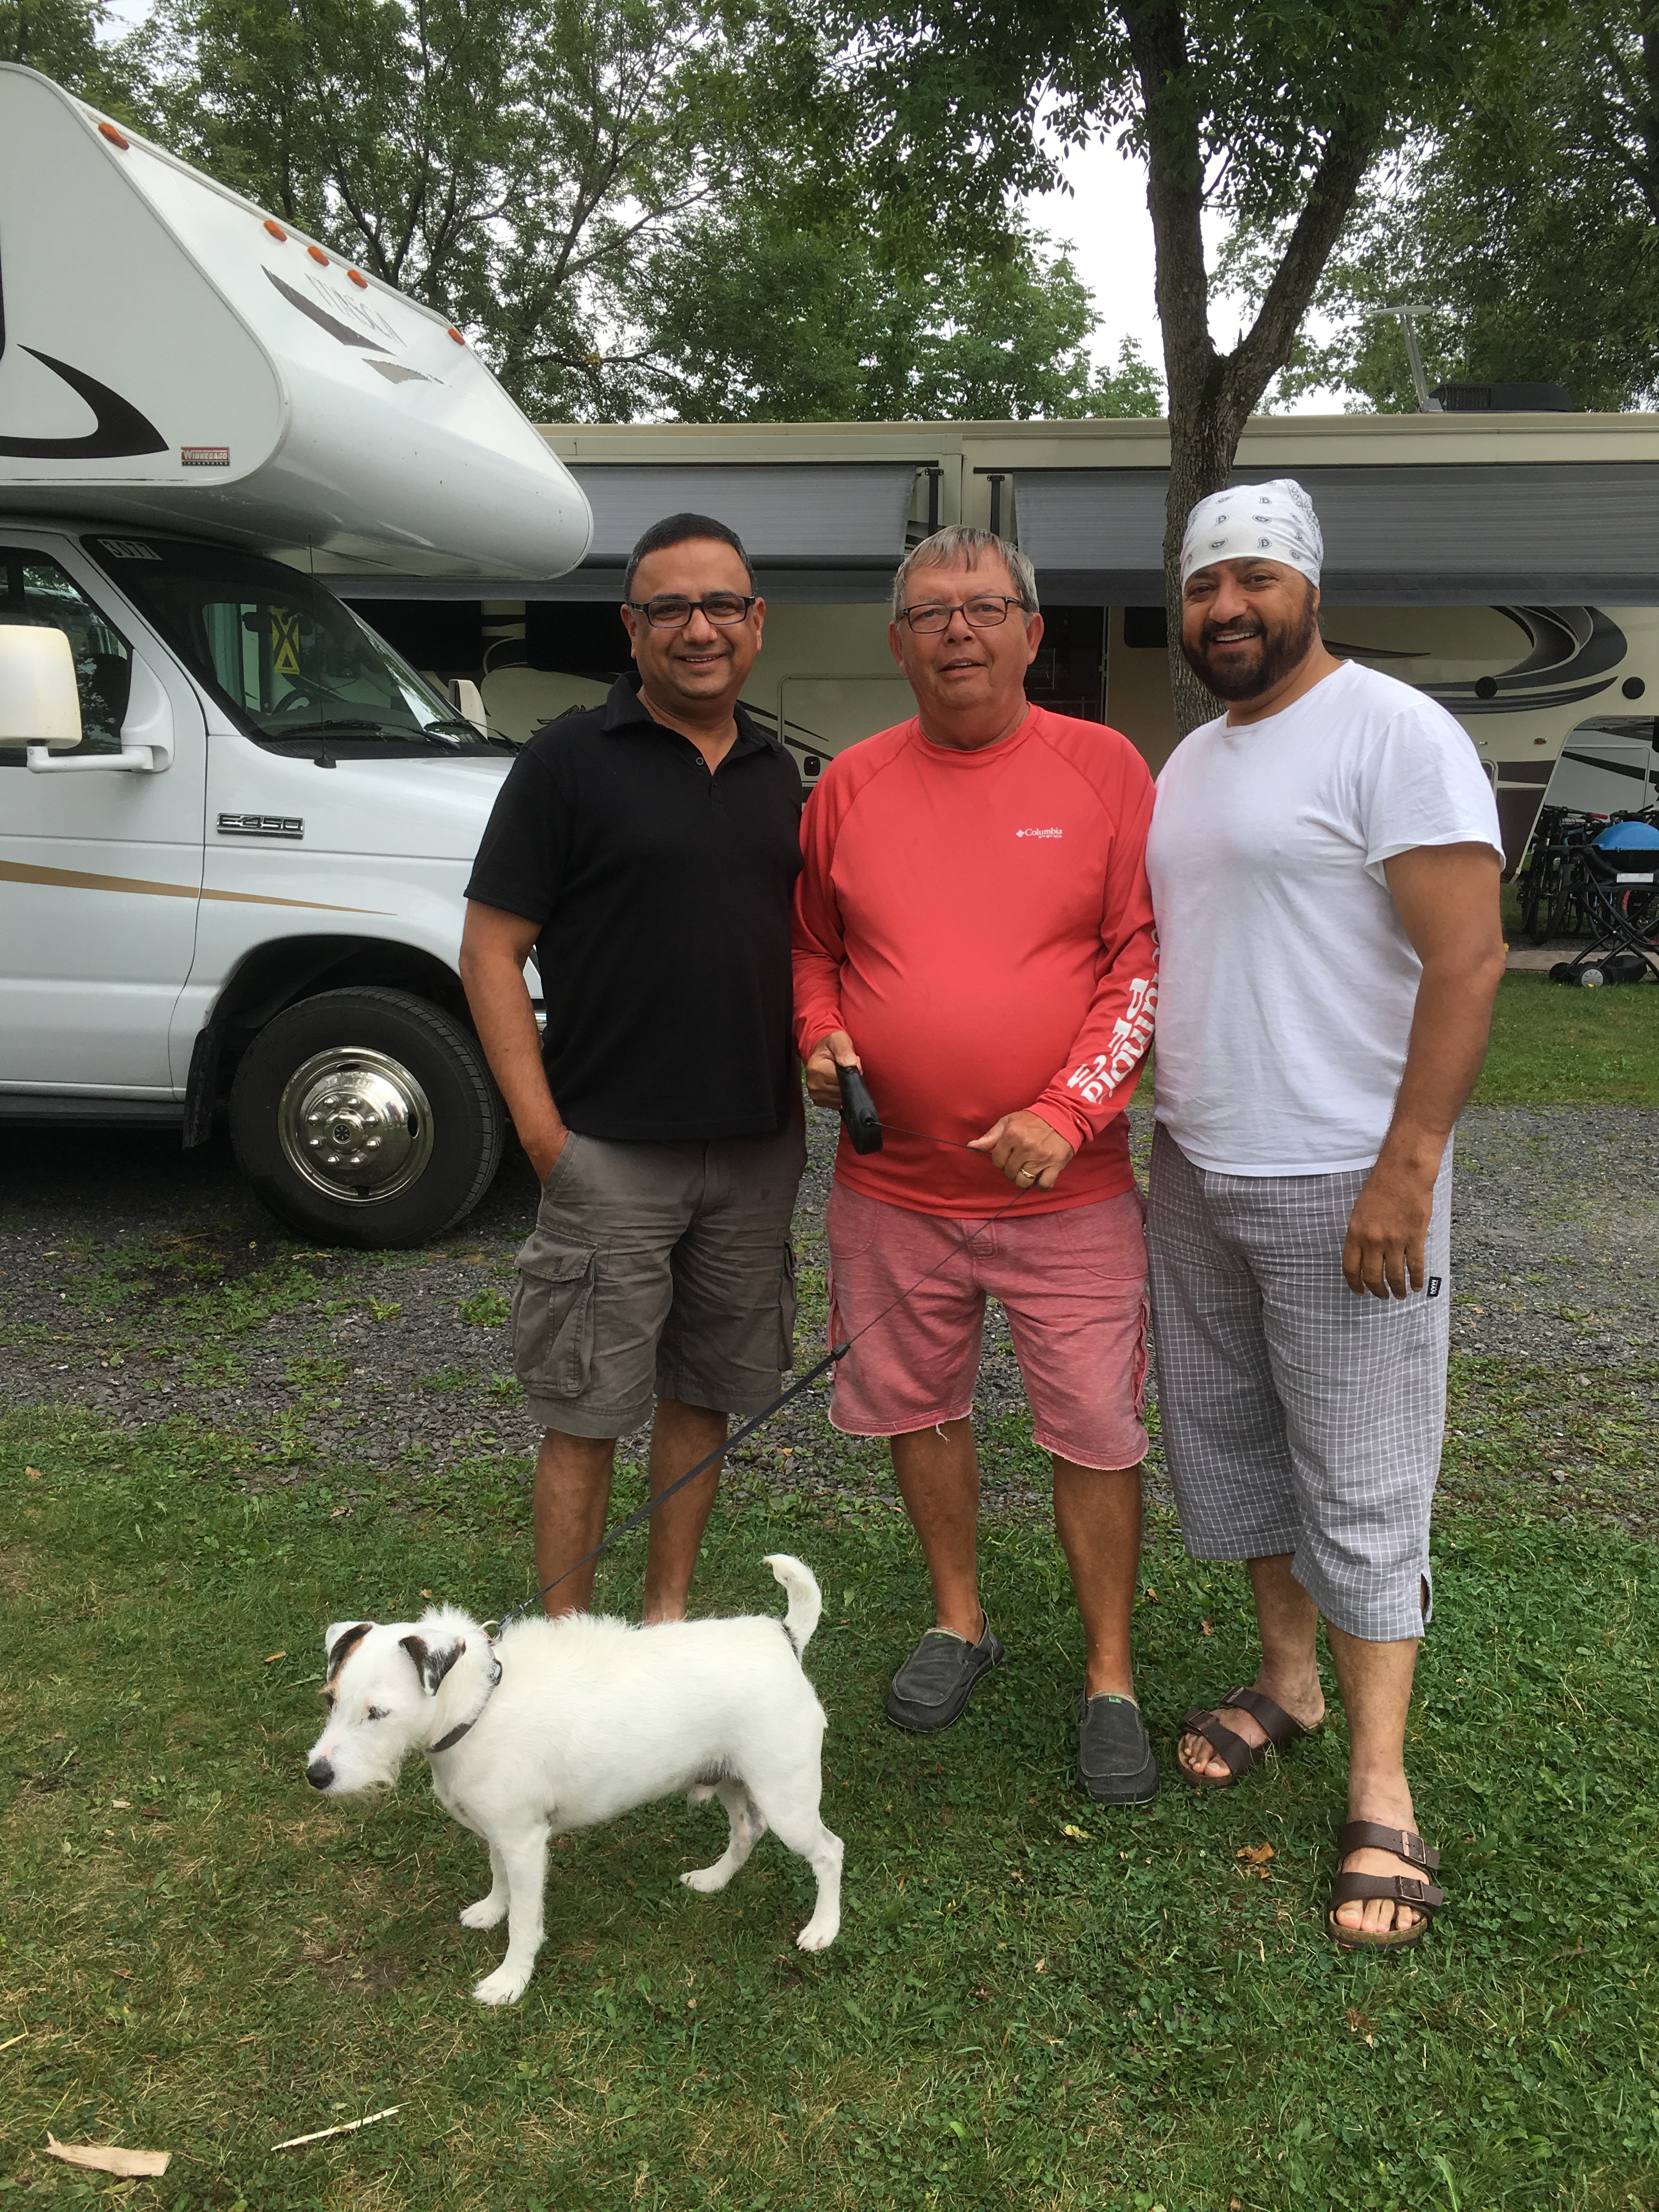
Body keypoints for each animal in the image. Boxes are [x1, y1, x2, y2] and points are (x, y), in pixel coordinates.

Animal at [304, 1554, 842, 2005]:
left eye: (378, 1713)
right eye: (330, 1700)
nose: (316, 1775)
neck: (478, 1707)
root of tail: (784, 1637)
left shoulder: (525, 1842)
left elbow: (524, 1921)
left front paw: (510, 1980)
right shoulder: (501, 1832)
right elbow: (499, 1878)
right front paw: (491, 1910)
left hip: (787, 1798)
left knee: (828, 1851)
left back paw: (823, 1929)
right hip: (732, 1777)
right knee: (747, 1830)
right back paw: (713, 1879)